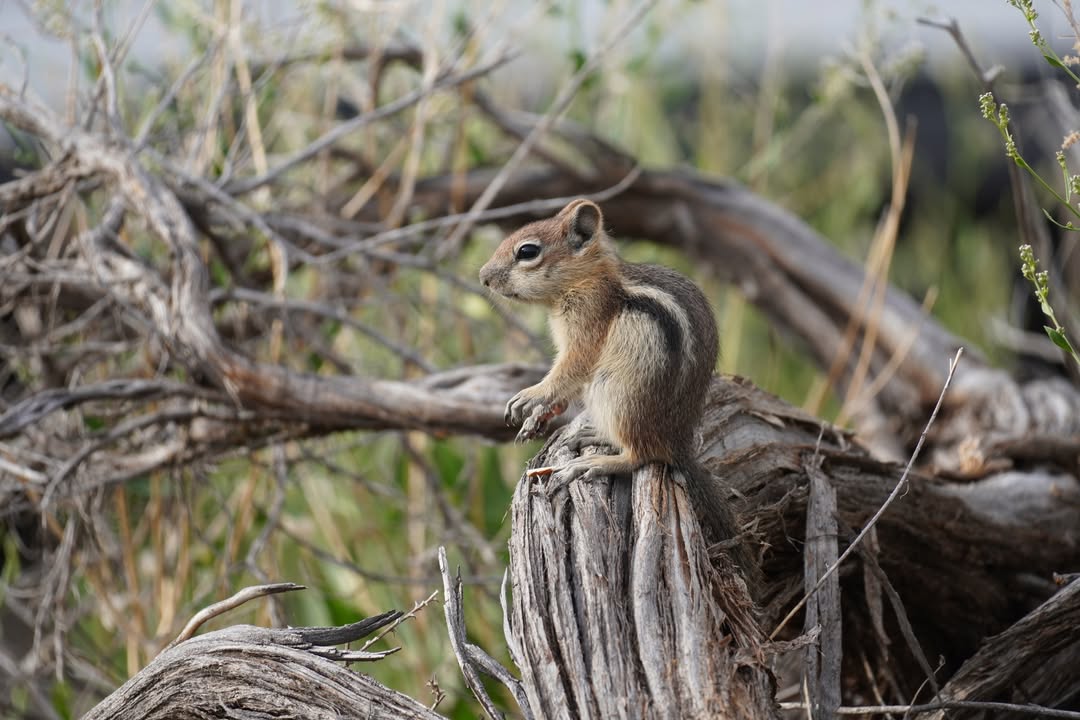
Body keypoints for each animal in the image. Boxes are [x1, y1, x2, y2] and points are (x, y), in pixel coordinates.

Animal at [479, 198, 740, 552]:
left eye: (527, 251)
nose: (483, 277)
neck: (587, 278)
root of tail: (678, 442)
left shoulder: (588, 323)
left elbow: (570, 370)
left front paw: (531, 395)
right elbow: (565, 387)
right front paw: (537, 417)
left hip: (618, 394)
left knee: (643, 454)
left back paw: (597, 462)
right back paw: (595, 435)